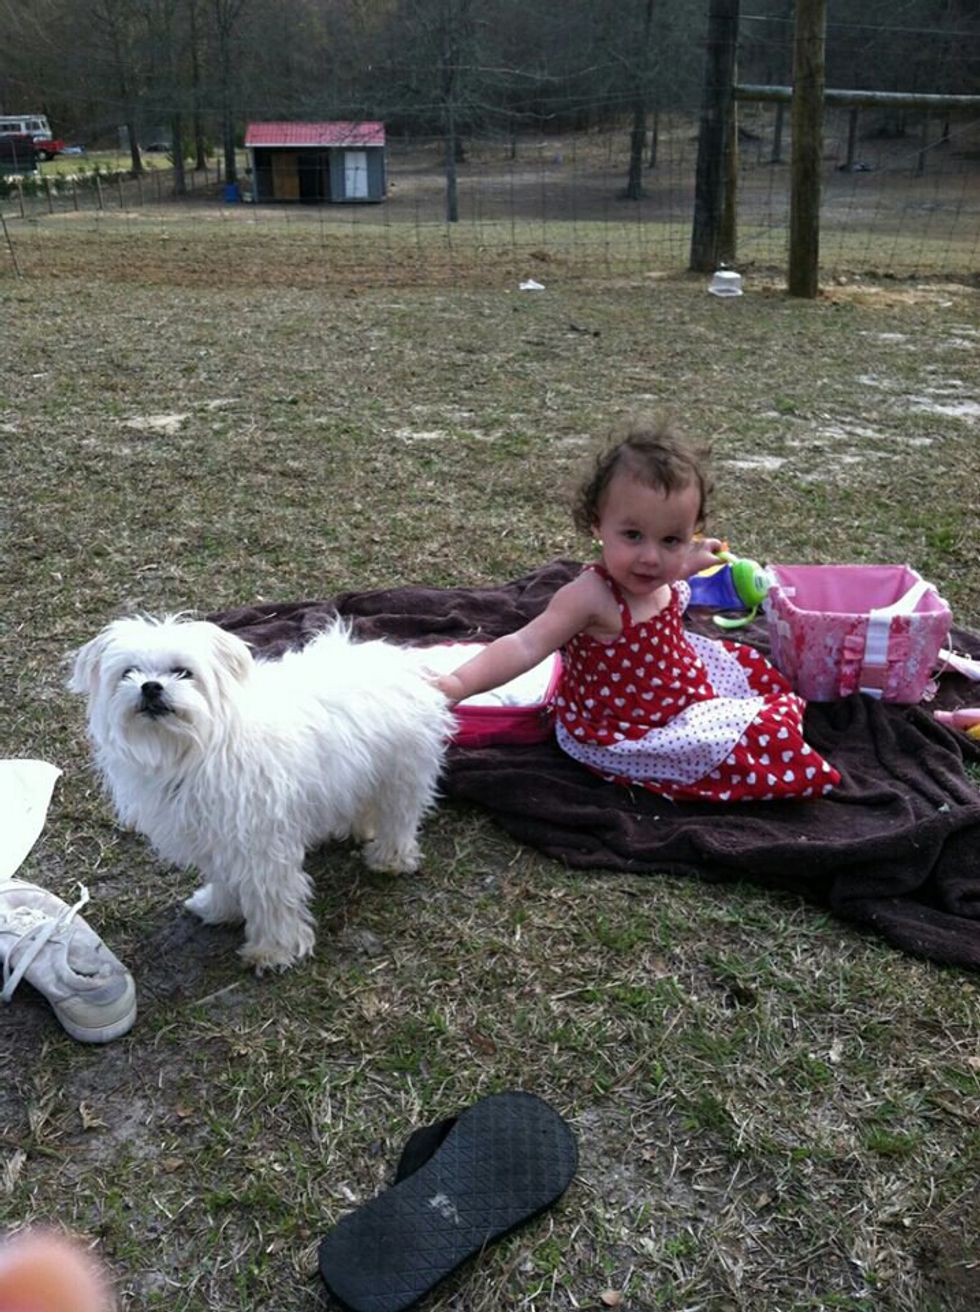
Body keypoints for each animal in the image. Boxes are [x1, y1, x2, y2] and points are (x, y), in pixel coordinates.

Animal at [69, 616, 454, 972]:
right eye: (129, 672)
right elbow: (224, 879)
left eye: (183, 672)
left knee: (398, 820)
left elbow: (270, 897)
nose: (150, 687)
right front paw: (219, 908)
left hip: (400, 776)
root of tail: (404, 663)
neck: (193, 749)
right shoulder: (216, 839)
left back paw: (390, 859)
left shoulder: (262, 844)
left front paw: (273, 950)